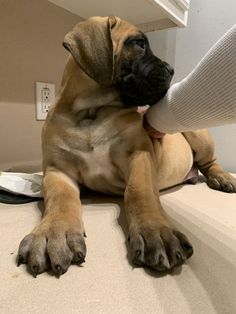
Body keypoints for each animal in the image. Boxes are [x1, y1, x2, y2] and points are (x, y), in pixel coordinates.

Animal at [18, 16, 236, 278]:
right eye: (139, 43)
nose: (172, 70)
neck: (91, 112)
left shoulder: (139, 155)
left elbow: (138, 191)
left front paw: (155, 230)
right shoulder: (58, 171)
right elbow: (60, 198)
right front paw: (54, 232)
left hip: (196, 131)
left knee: (210, 161)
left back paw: (222, 178)